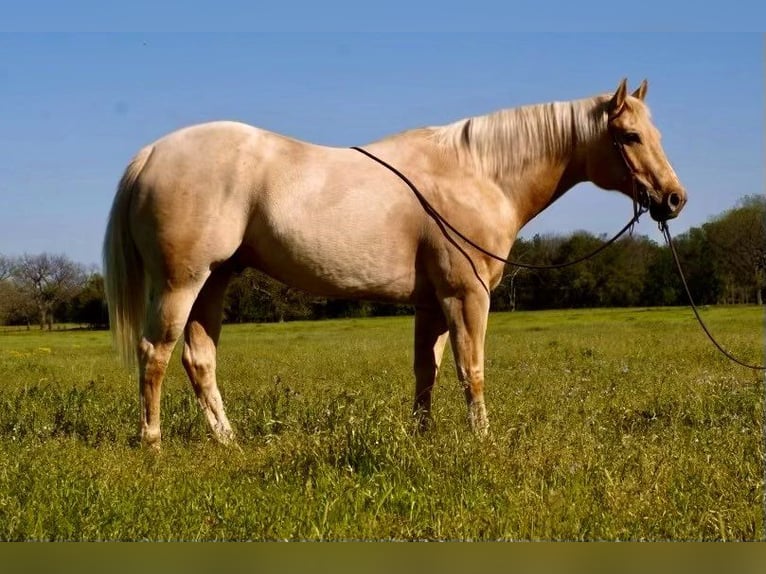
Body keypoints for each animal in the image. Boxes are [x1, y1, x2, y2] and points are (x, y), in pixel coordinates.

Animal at [103, 77, 688, 450]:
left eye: (657, 134)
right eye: (630, 136)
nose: (674, 199)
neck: (476, 174)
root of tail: (152, 154)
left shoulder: (431, 304)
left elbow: (427, 371)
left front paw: (422, 438)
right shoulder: (466, 297)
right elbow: (472, 370)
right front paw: (482, 441)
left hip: (215, 283)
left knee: (198, 360)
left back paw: (228, 441)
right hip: (181, 284)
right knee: (155, 353)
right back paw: (152, 443)